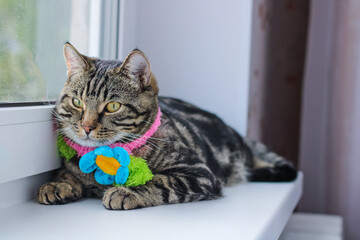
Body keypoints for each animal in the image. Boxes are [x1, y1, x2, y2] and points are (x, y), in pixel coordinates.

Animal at [36, 42, 296, 210]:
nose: (87, 126)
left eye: (112, 106)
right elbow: (69, 172)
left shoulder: (199, 174)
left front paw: (126, 191)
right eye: (77, 102)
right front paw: (58, 182)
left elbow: (160, 181)